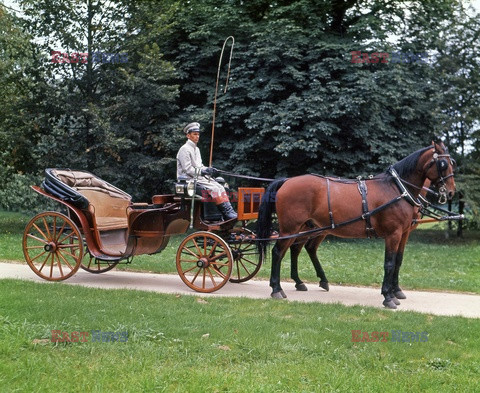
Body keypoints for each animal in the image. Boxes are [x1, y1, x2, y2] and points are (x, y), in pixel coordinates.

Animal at [256, 142, 456, 308]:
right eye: (443, 164)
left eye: (451, 162)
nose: (451, 192)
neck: (398, 189)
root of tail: (287, 181)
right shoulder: (393, 233)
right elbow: (389, 263)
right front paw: (388, 297)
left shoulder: (404, 233)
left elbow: (398, 261)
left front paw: (396, 292)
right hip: (290, 228)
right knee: (278, 252)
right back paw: (276, 289)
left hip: (306, 227)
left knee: (297, 249)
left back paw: (301, 282)